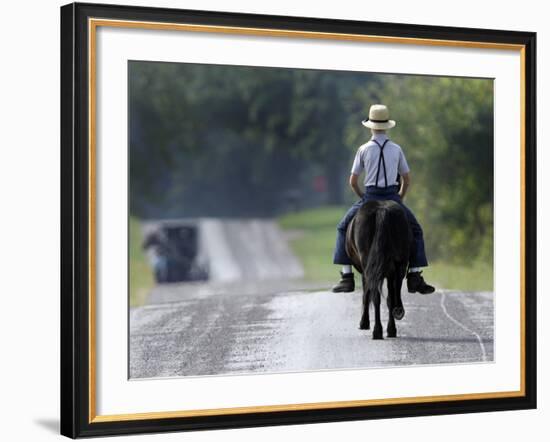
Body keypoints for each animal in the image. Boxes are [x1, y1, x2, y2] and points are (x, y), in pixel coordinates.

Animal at [348, 201, 412, 342]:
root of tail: (382, 210)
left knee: (375, 295)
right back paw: (392, 328)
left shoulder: (366, 272)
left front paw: (364, 323)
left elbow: (366, 294)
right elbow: (389, 298)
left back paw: (377, 331)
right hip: (398, 266)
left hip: (368, 266)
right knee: (391, 298)